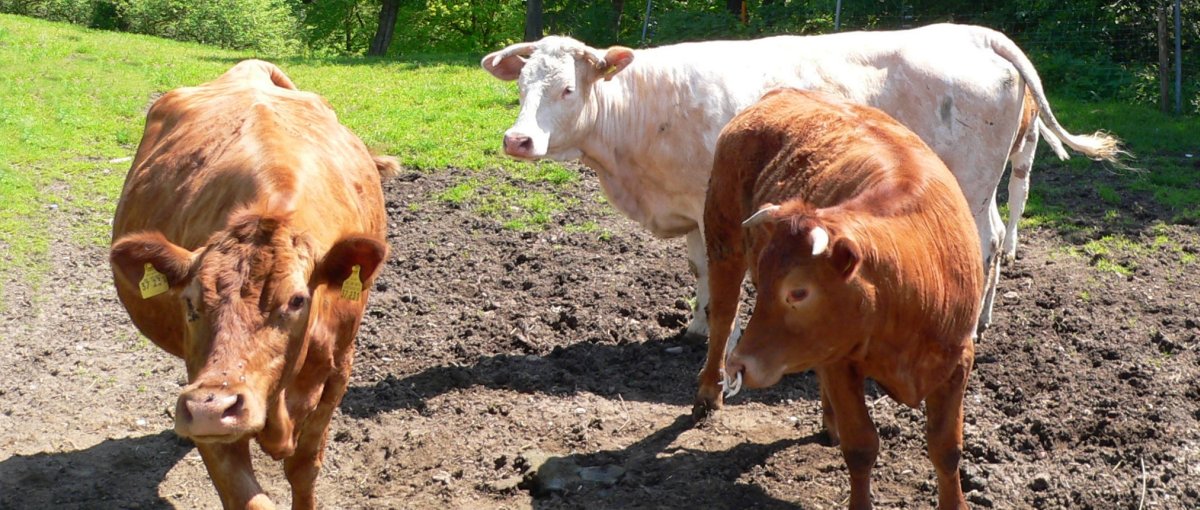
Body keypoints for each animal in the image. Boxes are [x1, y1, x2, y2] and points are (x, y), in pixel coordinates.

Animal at [110, 60, 396, 508]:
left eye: (297, 300)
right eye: (189, 303)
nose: (210, 409)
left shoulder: (338, 371)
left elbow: (304, 467)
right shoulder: (206, 393)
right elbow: (245, 493)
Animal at [482, 22, 1118, 412]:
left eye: (567, 89)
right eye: (522, 86)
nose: (518, 139)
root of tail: (975, 34)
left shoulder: (714, 206)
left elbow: (716, 276)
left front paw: (712, 332)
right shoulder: (692, 207)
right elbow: (697, 272)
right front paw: (694, 325)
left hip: (975, 181)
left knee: (987, 246)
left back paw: (972, 324)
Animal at [700, 88, 984, 508]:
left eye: (798, 291)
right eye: (764, 282)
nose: (740, 364)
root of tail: (781, 92)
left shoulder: (958, 361)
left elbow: (946, 449)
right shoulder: (841, 362)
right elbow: (862, 447)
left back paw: (827, 422)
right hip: (724, 241)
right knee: (722, 316)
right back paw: (709, 389)